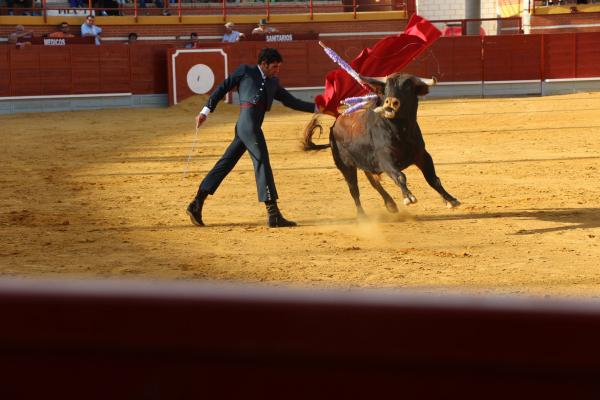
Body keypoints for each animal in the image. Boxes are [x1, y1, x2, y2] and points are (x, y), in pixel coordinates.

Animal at [302, 72, 462, 216]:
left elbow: (433, 179)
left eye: (408, 88)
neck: (400, 130)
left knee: (374, 182)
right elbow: (400, 176)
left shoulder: (422, 155)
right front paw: (409, 197)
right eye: (386, 89)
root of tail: (335, 123)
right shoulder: (385, 159)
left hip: (366, 163)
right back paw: (362, 216)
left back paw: (390, 204)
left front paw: (450, 199)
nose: (390, 102)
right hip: (345, 166)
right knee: (354, 189)